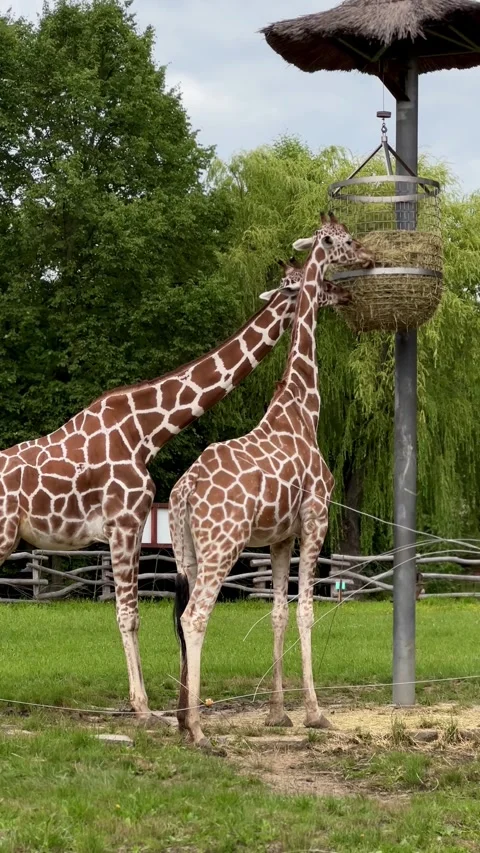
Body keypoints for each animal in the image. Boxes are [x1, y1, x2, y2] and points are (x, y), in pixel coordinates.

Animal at [0, 250, 349, 720]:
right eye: (308, 283)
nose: (343, 294)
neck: (146, 431)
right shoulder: (125, 523)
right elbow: (129, 615)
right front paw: (144, 708)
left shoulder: (129, 527)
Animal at [170, 214, 373, 748]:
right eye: (346, 241)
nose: (366, 265)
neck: (303, 406)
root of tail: (182, 492)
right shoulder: (316, 518)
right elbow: (306, 611)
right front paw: (316, 713)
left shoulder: (280, 537)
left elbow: (278, 612)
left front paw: (278, 714)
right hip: (222, 544)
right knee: (195, 616)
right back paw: (198, 731)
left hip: (187, 551)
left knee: (181, 615)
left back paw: (181, 721)